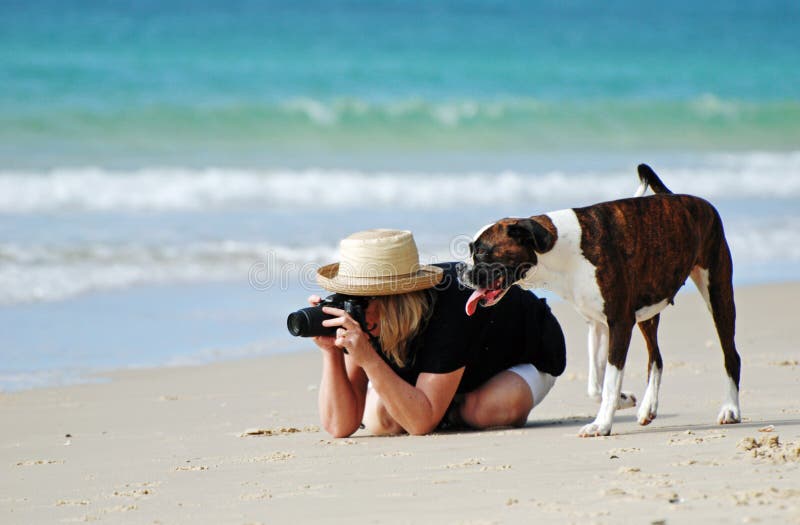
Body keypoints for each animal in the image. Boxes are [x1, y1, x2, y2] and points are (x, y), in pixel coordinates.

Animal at [460, 166, 740, 436]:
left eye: (482, 252)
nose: (461, 271)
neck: (561, 250)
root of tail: (690, 200)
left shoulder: (619, 323)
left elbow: (610, 380)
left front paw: (602, 424)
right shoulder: (598, 325)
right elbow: (597, 386)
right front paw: (622, 400)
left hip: (718, 295)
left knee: (731, 355)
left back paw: (730, 409)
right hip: (648, 311)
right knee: (656, 358)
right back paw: (648, 407)